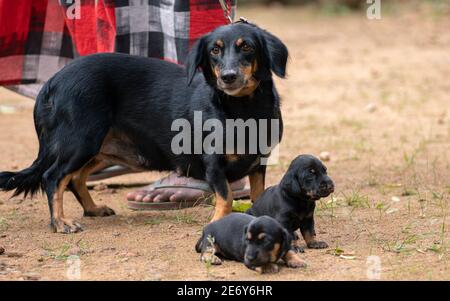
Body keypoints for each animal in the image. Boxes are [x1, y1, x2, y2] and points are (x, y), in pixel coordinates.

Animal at [0, 21, 288, 232]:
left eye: (247, 47)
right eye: (214, 51)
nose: (228, 77)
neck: (241, 109)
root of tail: (52, 82)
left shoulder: (259, 162)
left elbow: (258, 195)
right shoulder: (213, 163)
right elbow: (226, 197)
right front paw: (218, 223)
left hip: (99, 148)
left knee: (76, 178)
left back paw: (93, 209)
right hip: (80, 142)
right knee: (54, 177)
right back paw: (60, 222)